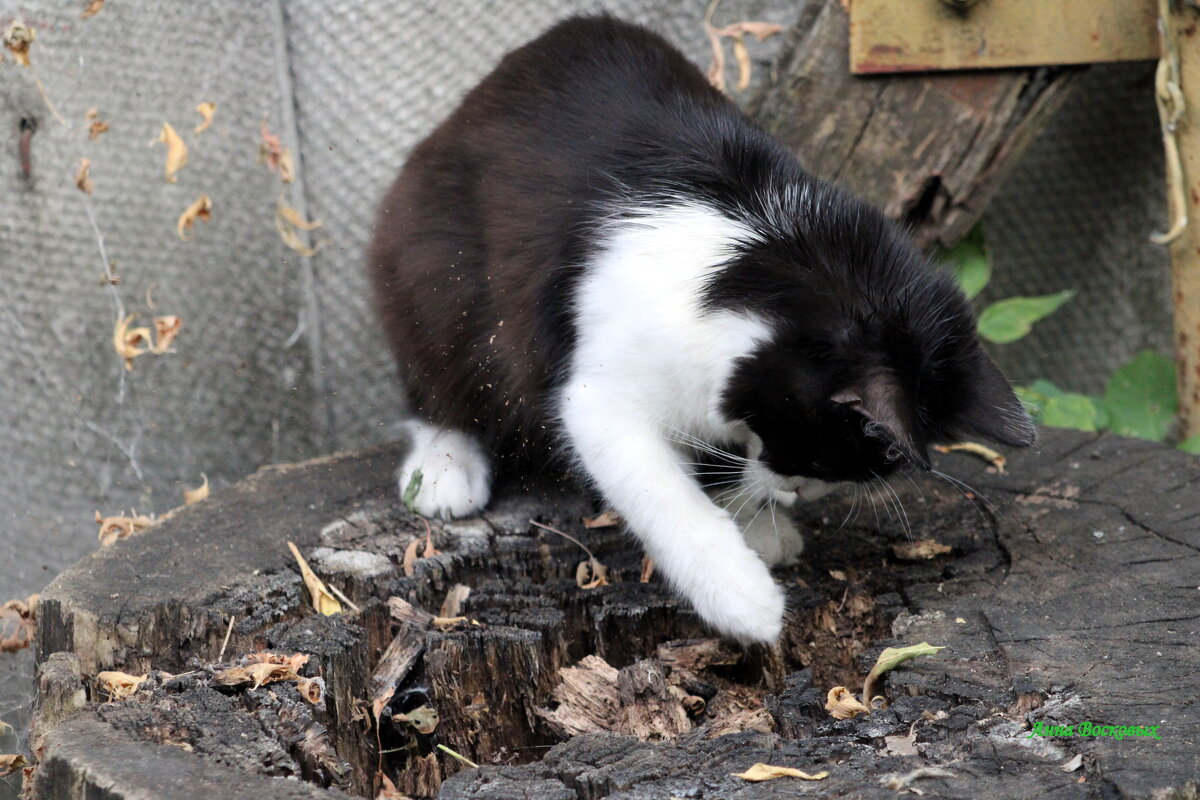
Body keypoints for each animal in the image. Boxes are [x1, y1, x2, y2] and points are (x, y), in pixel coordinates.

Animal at [369, 15, 1036, 642]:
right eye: (819, 452)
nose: (798, 493)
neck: (770, 260)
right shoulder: (600, 395)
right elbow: (660, 490)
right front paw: (741, 594)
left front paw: (756, 519)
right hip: (432, 264)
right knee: (440, 364)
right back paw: (444, 462)